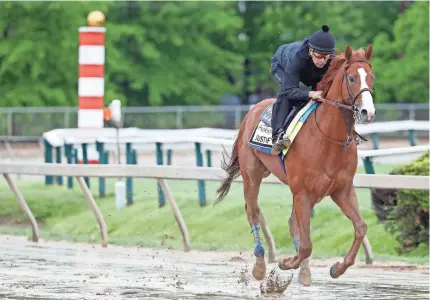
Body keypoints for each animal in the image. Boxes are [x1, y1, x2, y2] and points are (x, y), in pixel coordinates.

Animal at [215, 45, 376, 286]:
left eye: (371, 77)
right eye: (352, 78)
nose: (368, 112)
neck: (329, 138)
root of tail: (252, 110)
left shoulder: (341, 190)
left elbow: (360, 227)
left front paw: (337, 268)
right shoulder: (303, 192)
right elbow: (307, 244)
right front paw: (286, 262)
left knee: (292, 223)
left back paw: (304, 271)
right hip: (252, 175)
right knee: (253, 213)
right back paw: (260, 266)